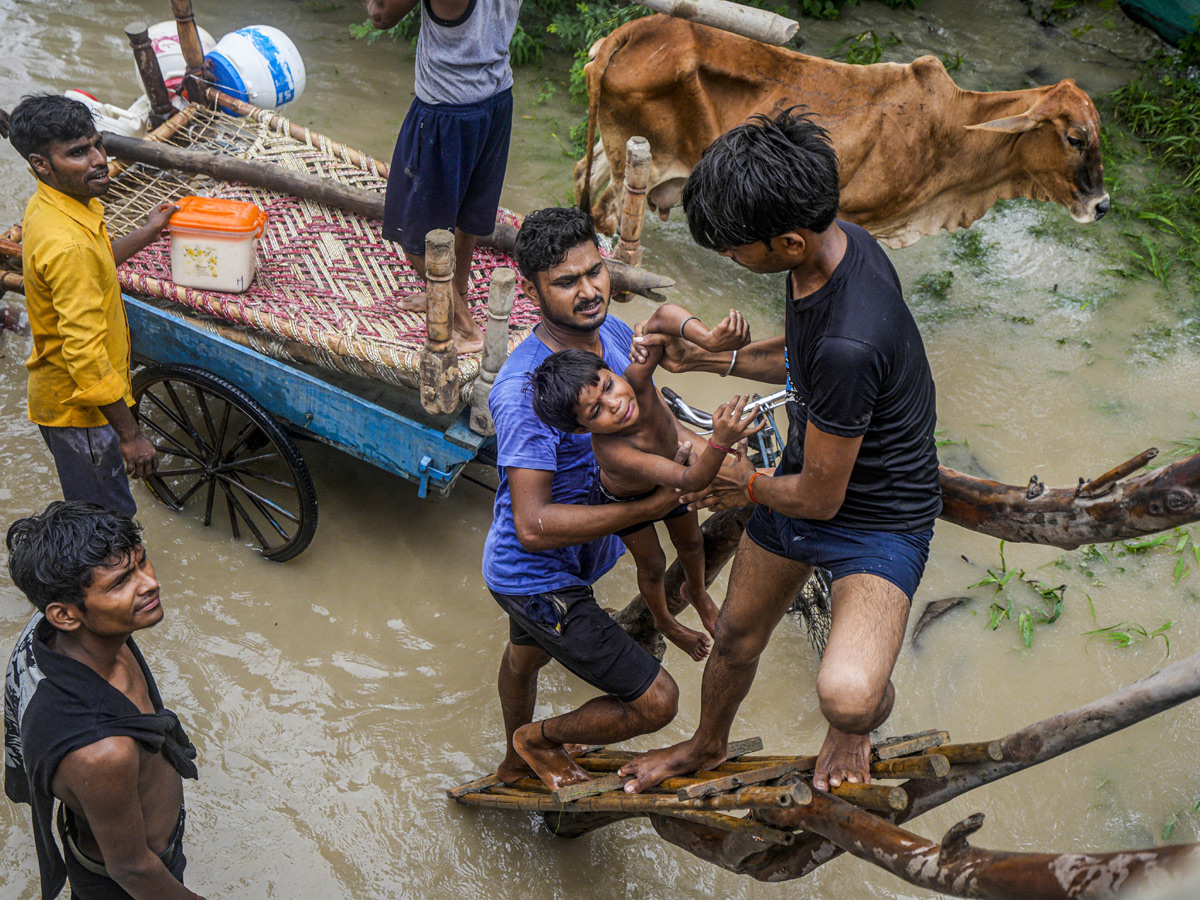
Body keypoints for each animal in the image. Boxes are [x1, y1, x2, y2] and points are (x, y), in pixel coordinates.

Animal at [576, 17, 1108, 248]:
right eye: (1075, 138)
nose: (1102, 206)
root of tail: (638, 28)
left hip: (613, 146)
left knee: (584, 174)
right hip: (642, 163)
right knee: (606, 219)